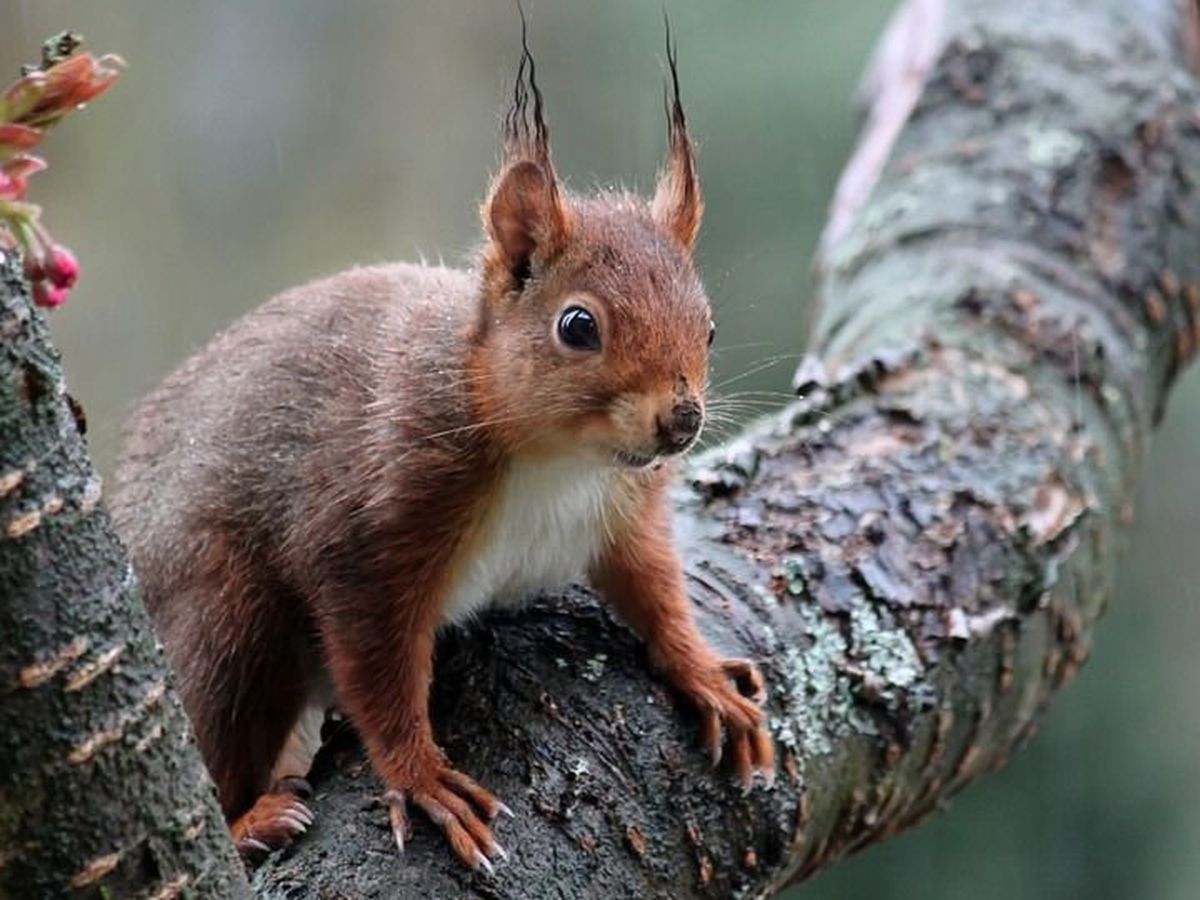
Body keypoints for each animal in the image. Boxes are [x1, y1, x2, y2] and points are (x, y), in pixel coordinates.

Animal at [110, 28, 768, 873]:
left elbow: (653, 588)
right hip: (221, 612)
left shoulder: (624, 513)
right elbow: (378, 670)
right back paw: (249, 821)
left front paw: (703, 672)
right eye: (577, 326)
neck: (560, 461)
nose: (681, 420)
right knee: (213, 730)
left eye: (709, 328)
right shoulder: (371, 526)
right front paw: (421, 777)